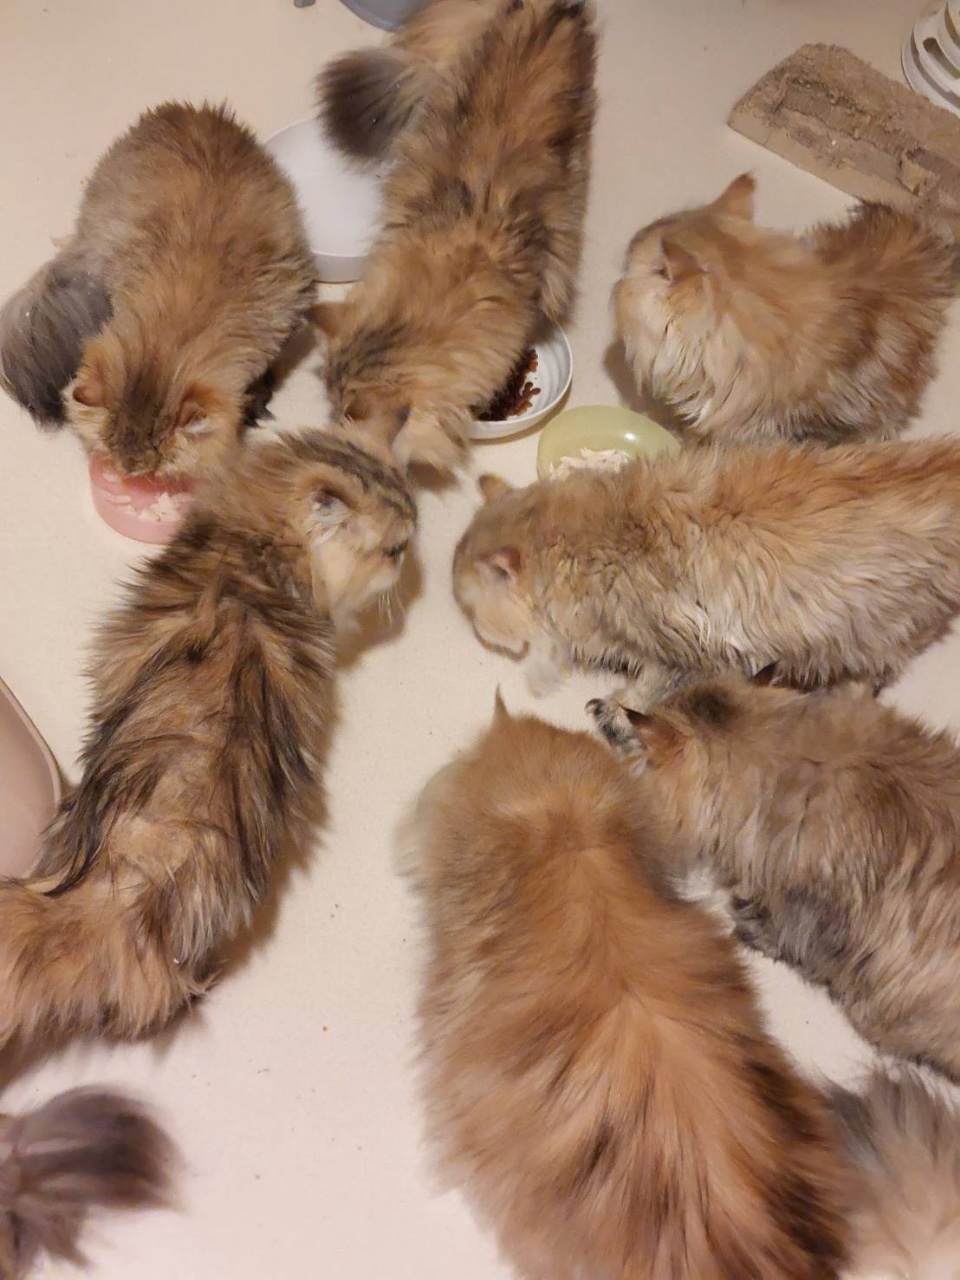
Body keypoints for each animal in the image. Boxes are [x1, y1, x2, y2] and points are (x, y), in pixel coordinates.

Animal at [453, 440, 960, 708]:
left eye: (471, 613)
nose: (475, 633)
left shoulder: (685, 653)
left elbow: (646, 692)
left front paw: (617, 709)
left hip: (868, 636)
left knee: (868, 677)